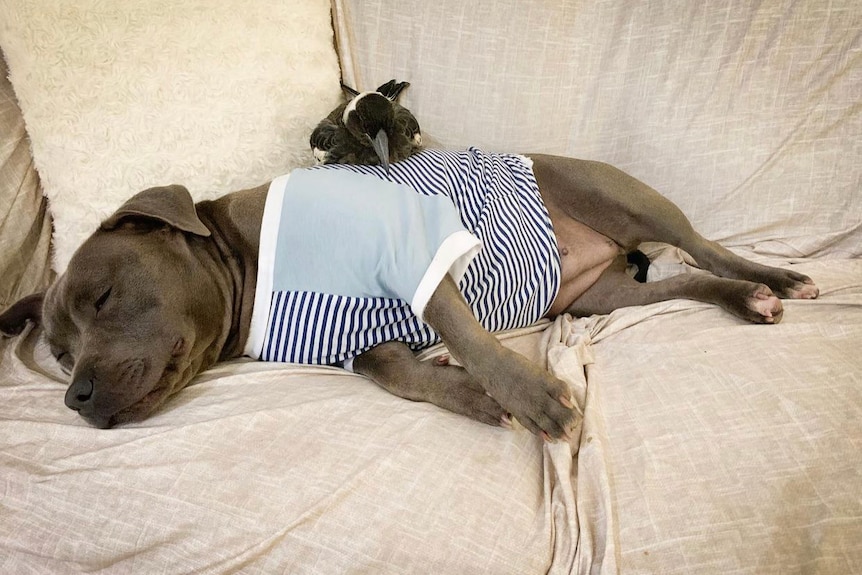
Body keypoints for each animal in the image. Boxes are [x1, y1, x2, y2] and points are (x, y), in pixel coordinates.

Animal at [0, 148, 820, 436]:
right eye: (60, 351)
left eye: (103, 297)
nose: (73, 394)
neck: (251, 267)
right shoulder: (354, 341)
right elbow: (399, 372)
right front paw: (477, 397)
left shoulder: (409, 256)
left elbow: (458, 329)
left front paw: (530, 394)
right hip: (601, 299)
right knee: (691, 279)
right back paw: (746, 299)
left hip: (615, 194)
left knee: (704, 246)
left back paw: (776, 278)